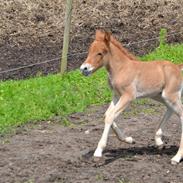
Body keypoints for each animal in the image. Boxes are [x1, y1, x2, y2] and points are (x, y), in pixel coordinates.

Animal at [79, 30, 183, 164]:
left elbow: (110, 116)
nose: (84, 68)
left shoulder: (128, 96)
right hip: (160, 96)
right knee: (170, 110)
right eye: (89, 50)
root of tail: (177, 67)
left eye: (100, 53)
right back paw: (159, 141)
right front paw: (129, 139)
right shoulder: (116, 96)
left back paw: (176, 157)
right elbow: (107, 115)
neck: (121, 69)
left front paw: (98, 151)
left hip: (170, 96)